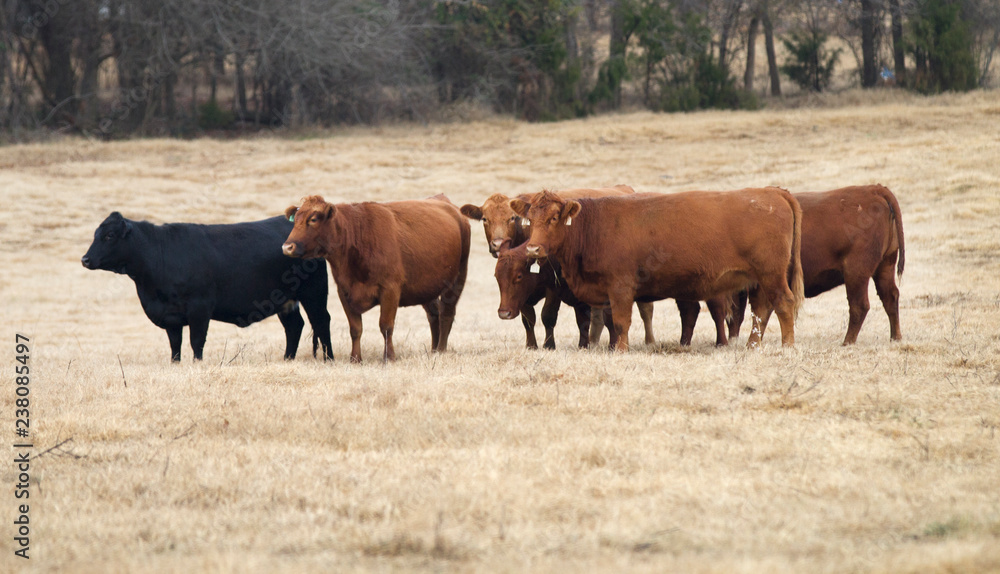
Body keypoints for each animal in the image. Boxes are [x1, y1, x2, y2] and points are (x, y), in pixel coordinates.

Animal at [82, 212, 332, 364]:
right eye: (95, 234)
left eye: (109, 235)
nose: (85, 259)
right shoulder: (171, 316)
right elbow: (175, 345)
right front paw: (176, 364)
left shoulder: (199, 308)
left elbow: (196, 341)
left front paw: (197, 364)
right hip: (286, 299)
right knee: (294, 326)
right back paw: (287, 359)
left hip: (314, 293)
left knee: (321, 321)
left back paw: (329, 359)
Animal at [282, 196, 468, 362]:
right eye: (295, 220)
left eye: (313, 219)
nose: (287, 247)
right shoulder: (344, 291)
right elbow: (355, 328)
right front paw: (355, 358)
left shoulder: (390, 290)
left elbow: (386, 326)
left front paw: (389, 357)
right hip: (426, 288)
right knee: (433, 314)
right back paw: (434, 349)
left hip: (457, 280)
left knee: (446, 314)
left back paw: (442, 350)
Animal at [512, 189, 808, 352]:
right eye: (530, 220)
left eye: (553, 218)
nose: (533, 249)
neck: (593, 228)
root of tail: (772, 191)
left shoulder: (620, 287)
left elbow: (620, 322)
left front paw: (621, 350)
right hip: (759, 279)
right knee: (761, 310)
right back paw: (752, 345)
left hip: (771, 274)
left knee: (783, 303)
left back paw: (787, 345)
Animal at [724, 187, 904, 344]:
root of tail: (874, 189)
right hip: (884, 266)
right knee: (890, 297)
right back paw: (895, 338)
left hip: (856, 273)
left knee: (859, 305)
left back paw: (847, 342)